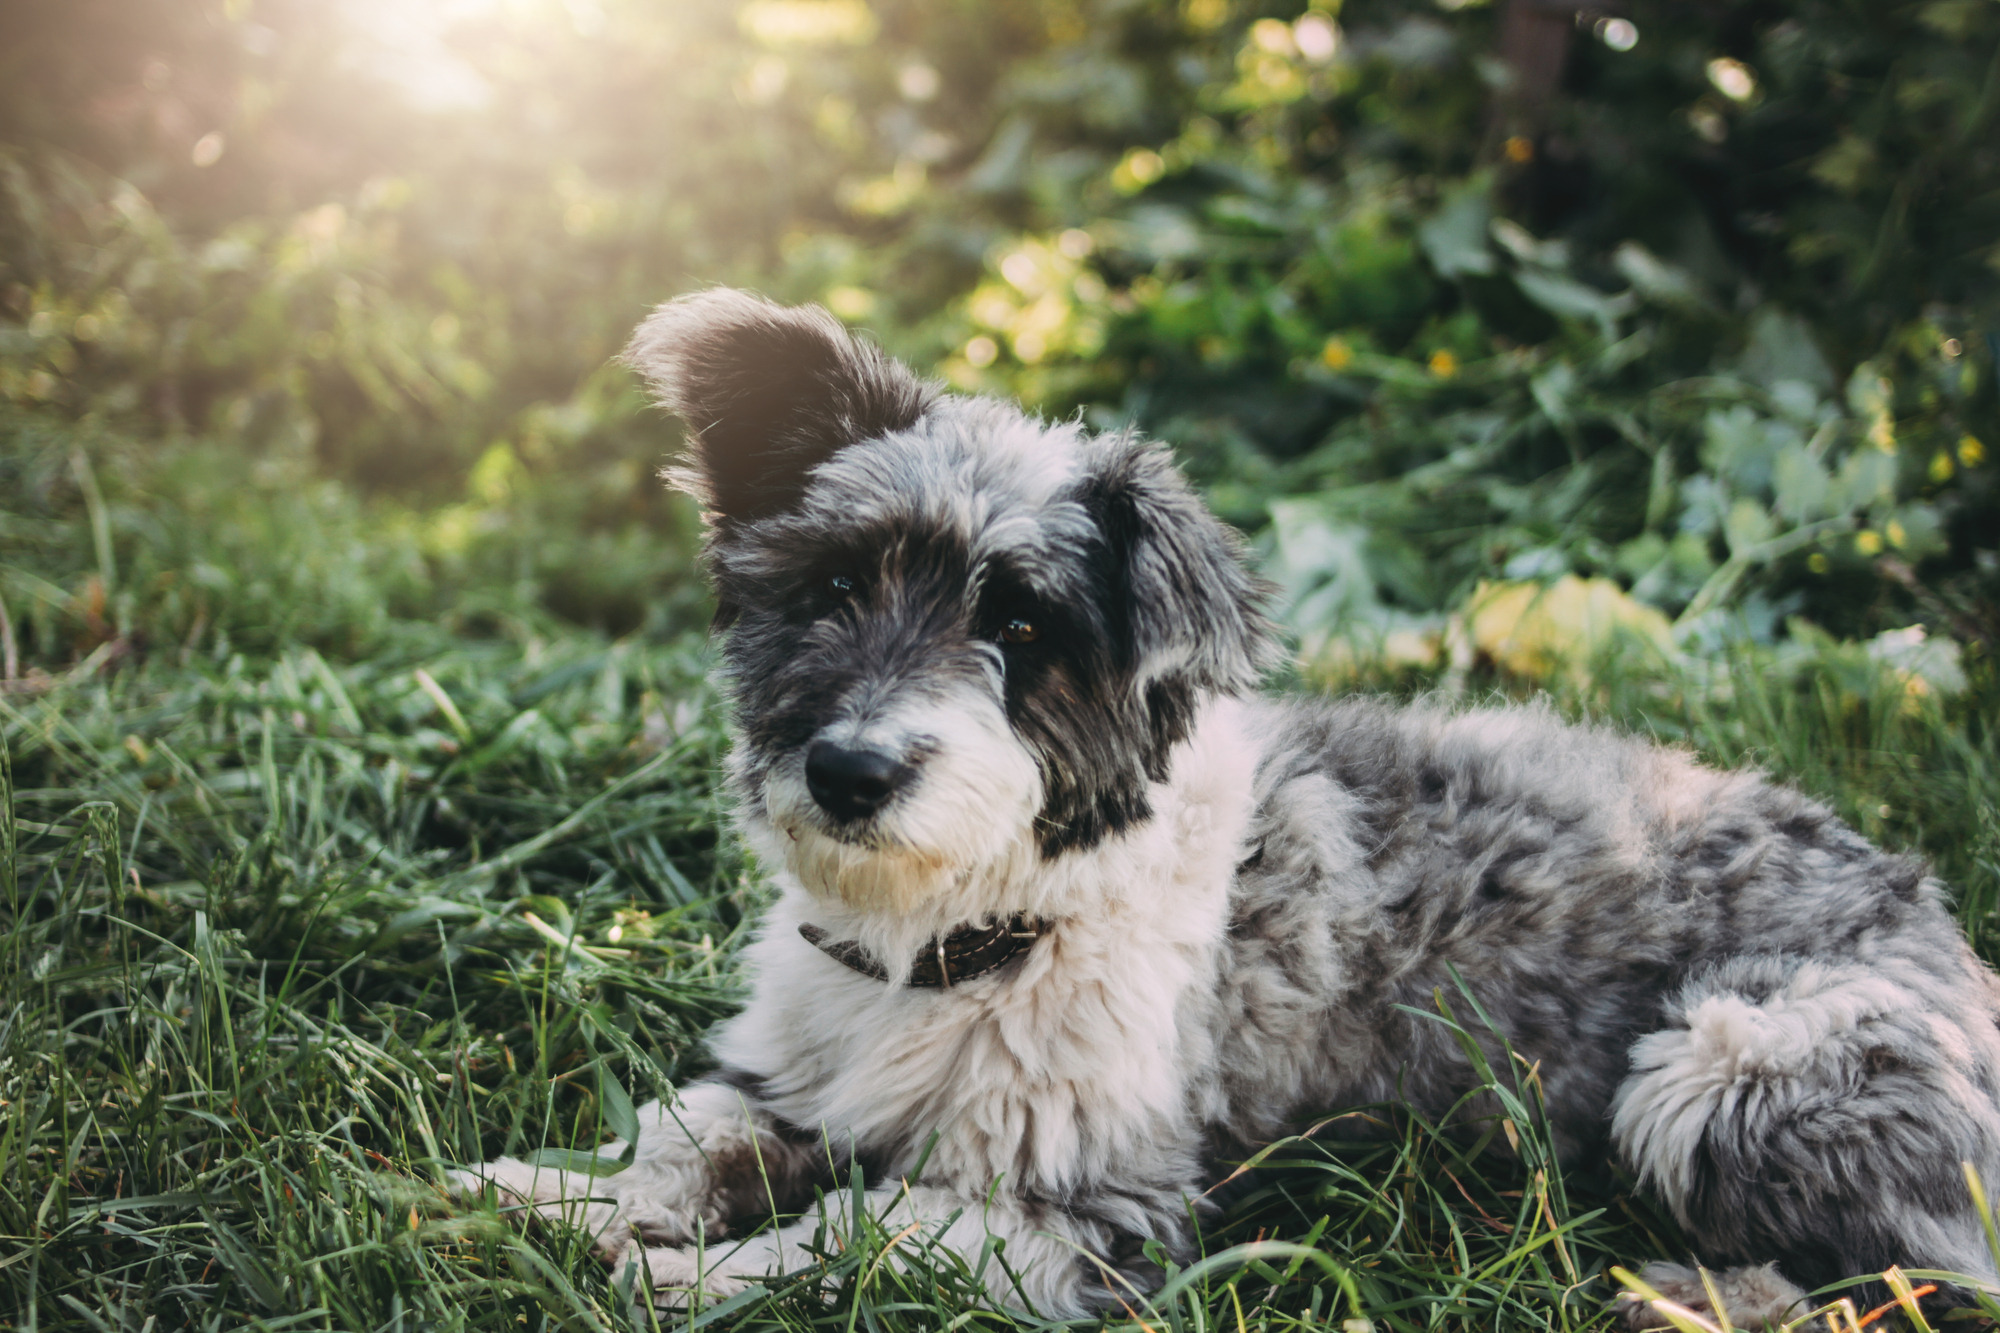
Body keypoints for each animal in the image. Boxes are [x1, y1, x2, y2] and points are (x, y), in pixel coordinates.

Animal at [450, 288, 2000, 1320]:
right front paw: (544, 1198)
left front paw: (683, 1271)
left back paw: (1705, 1290)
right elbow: (688, 1134)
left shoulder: (1093, 1214)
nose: (850, 770)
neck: (962, 935)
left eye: (1023, 632)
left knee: (1927, 1272)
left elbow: (861, 1236)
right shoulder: (792, 1074)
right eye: (833, 587)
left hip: (1719, 1065)